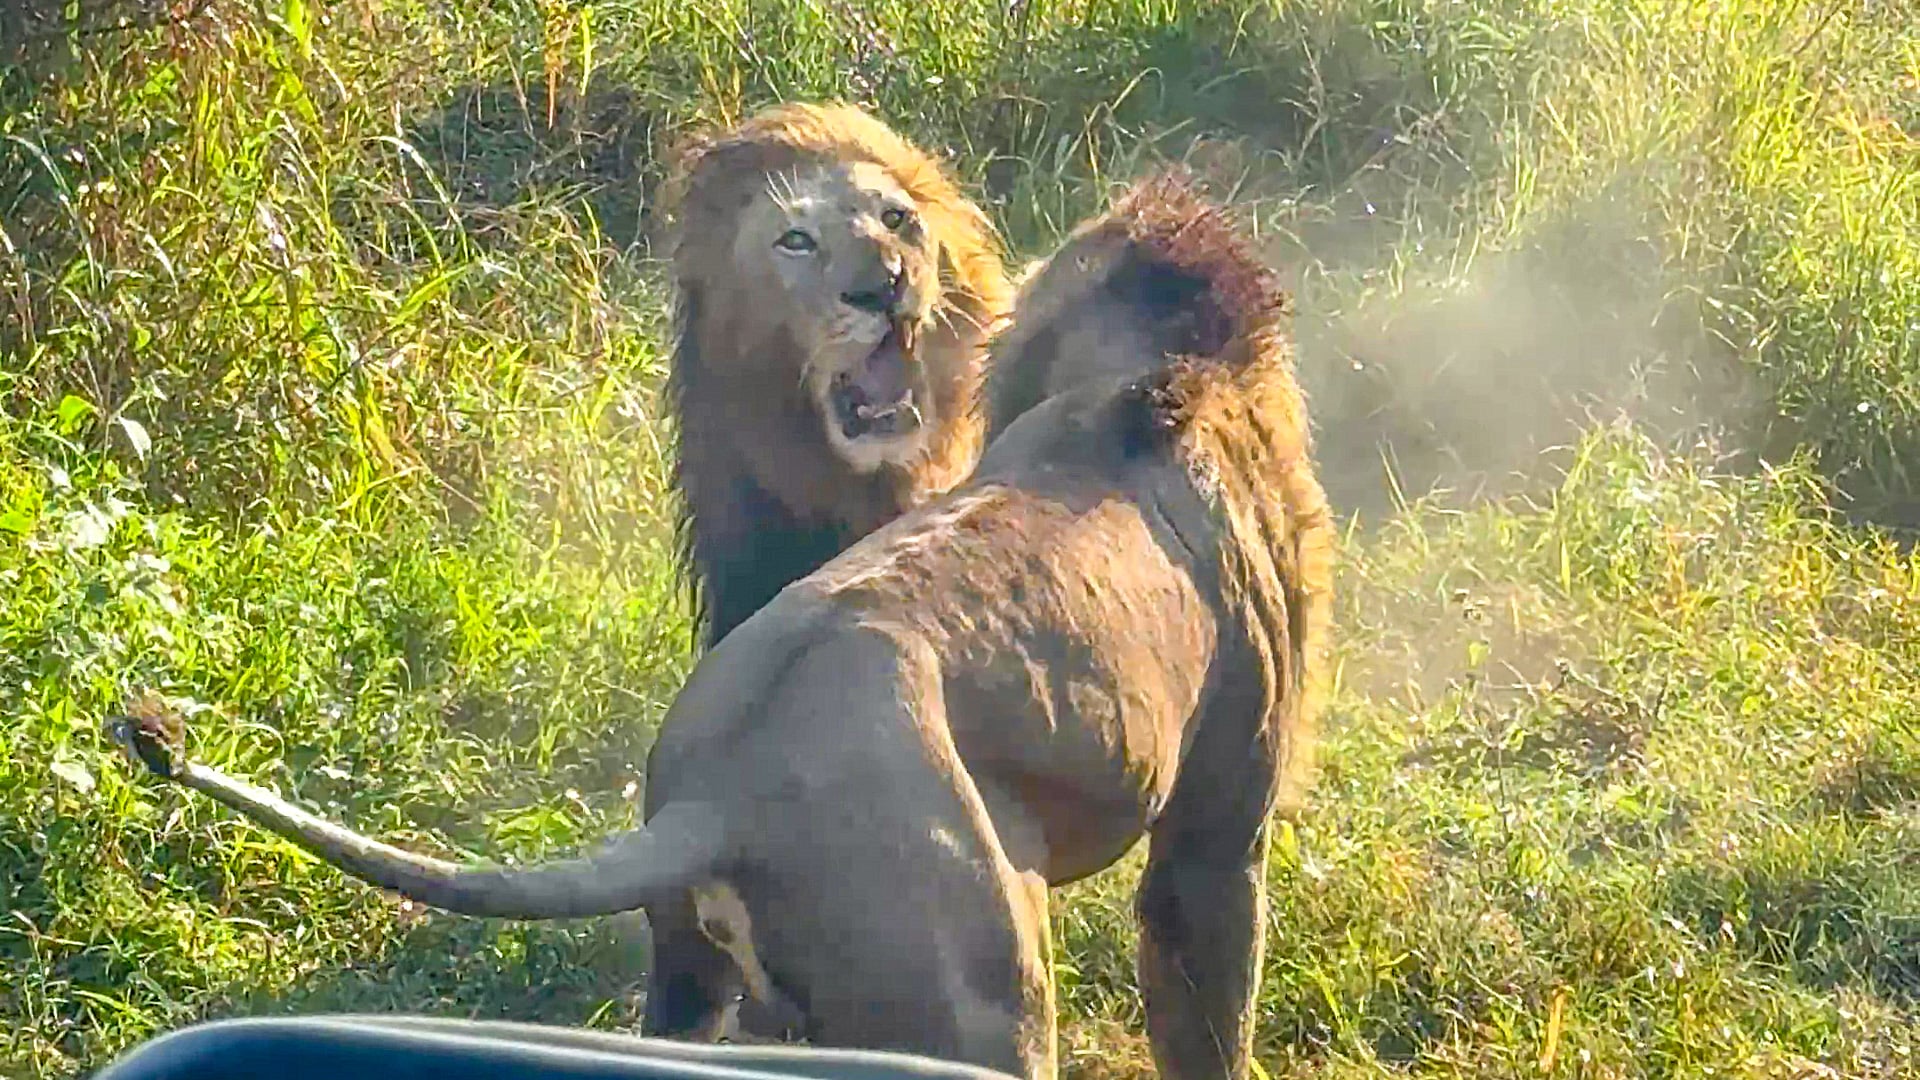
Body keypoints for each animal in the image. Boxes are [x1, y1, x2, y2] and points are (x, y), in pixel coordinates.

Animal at [111, 170, 1335, 1080]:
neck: (1145, 379)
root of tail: (720, 794)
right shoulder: (1218, 831)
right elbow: (1209, 1018)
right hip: (982, 987)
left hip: (694, 982)